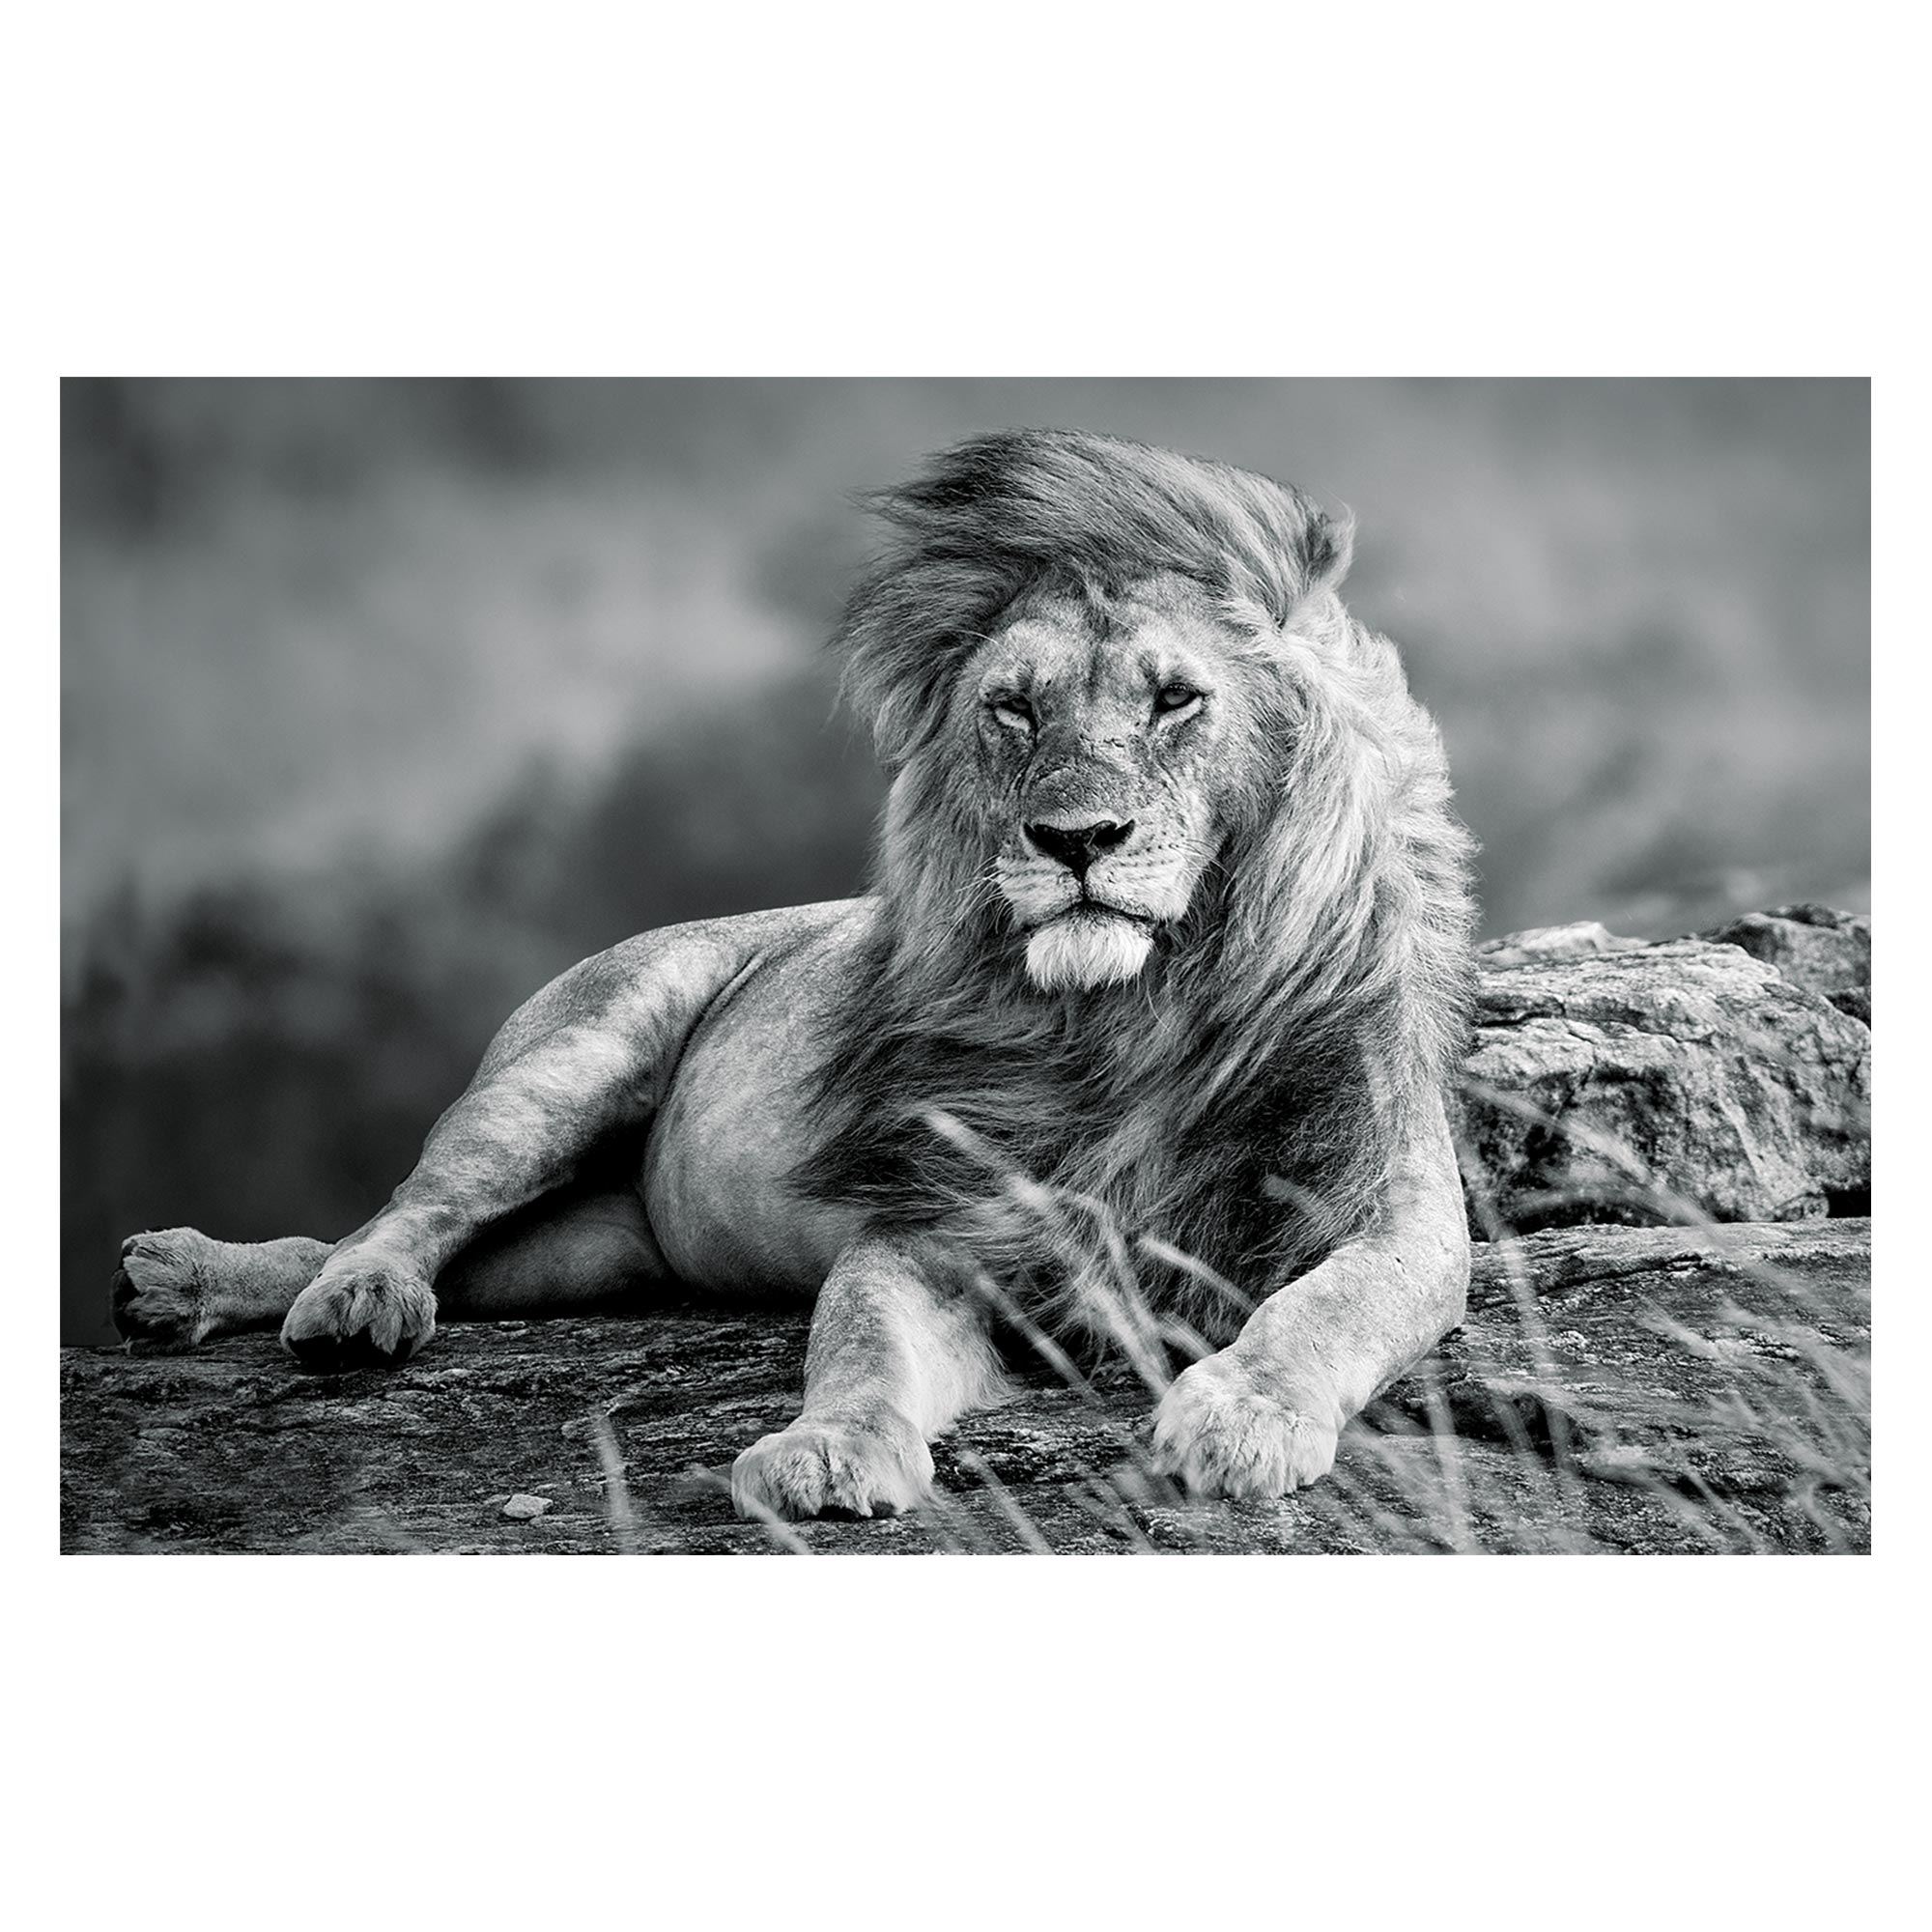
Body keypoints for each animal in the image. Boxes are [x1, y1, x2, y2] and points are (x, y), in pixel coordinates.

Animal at [113, 428, 1477, 1519]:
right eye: (1013, 710)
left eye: (1175, 699)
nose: (1074, 838)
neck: (1127, 1017)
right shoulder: (926, 1225)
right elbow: (858, 1342)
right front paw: (824, 1452)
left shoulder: (1395, 1210)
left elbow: (1327, 1305)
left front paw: (1240, 1414)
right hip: (567, 1061)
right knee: (403, 1212)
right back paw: (310, 1293)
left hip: (590, 1251)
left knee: (425, 1248)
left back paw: (189, 1284)